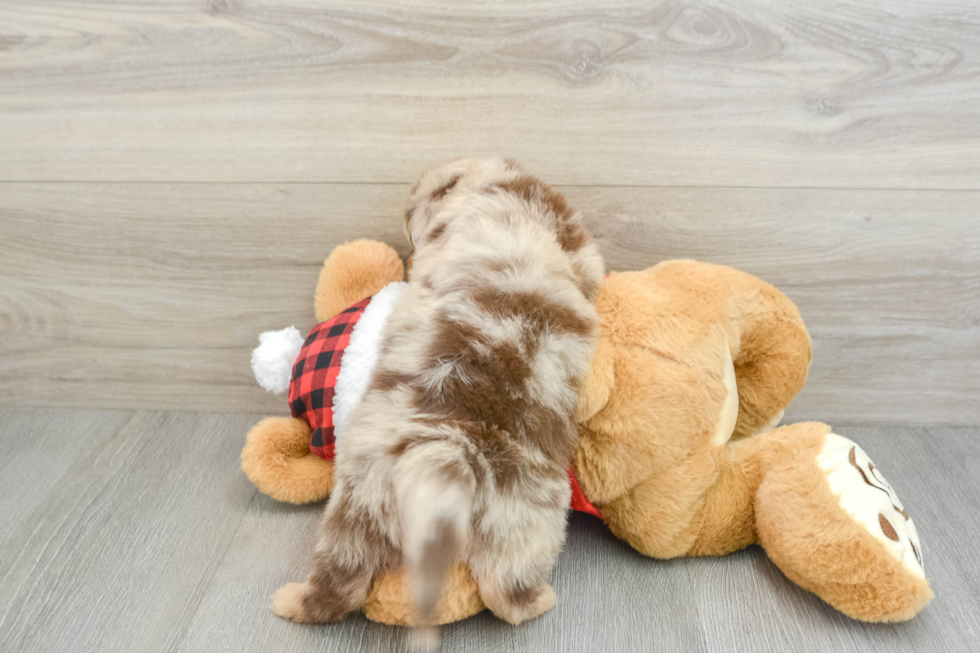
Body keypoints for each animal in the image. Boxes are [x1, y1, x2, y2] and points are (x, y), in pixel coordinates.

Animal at [272, 158, 600, 632]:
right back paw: (541, 600)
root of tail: (451, 457)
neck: (506, 191)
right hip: (527, 528)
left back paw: (289, 600)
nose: (406, 229)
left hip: (353, 512)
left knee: (337, 585)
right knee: (508, 597)